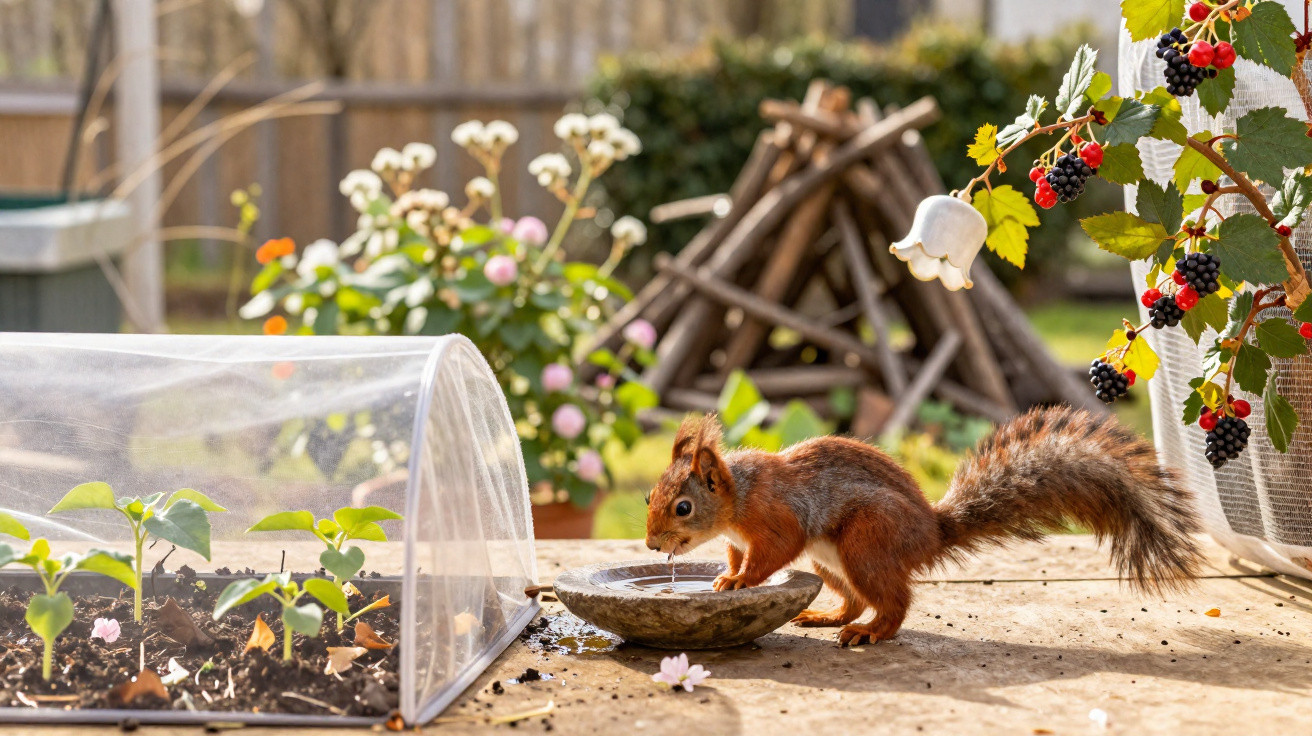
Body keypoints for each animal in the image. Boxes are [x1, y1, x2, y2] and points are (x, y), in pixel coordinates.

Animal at [644, 406, 1203, 646]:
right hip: (834, 563)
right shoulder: (740, 538)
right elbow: (738, 554)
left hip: (867, 541)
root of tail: (930, 533)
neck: (738, 500)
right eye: (650, 496)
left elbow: (772, 554)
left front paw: (740, 582)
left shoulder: (776, 517)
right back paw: (829, 617)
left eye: (683, 508)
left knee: (894, 602)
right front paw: (725, 576)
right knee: (857, 599)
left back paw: (869, 633)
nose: (651, 544)